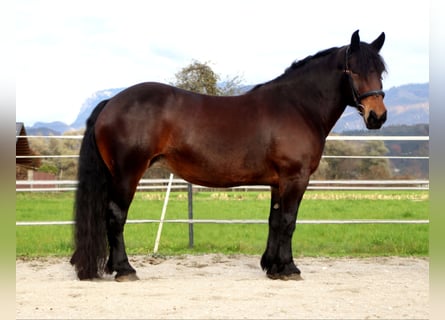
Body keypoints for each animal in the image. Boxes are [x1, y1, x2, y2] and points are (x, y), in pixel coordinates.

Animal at [69, 29, 386, 280]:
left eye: (380, 71)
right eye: (353, 70)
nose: (377, 116)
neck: (298, 107)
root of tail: (112, 102)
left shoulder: (278, 182)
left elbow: (274, 221)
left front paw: (272, 267)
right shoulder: (295, 178)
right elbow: (288, 221)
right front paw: (289, 268)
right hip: (127, 173)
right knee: (115, 216)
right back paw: (125, 269)